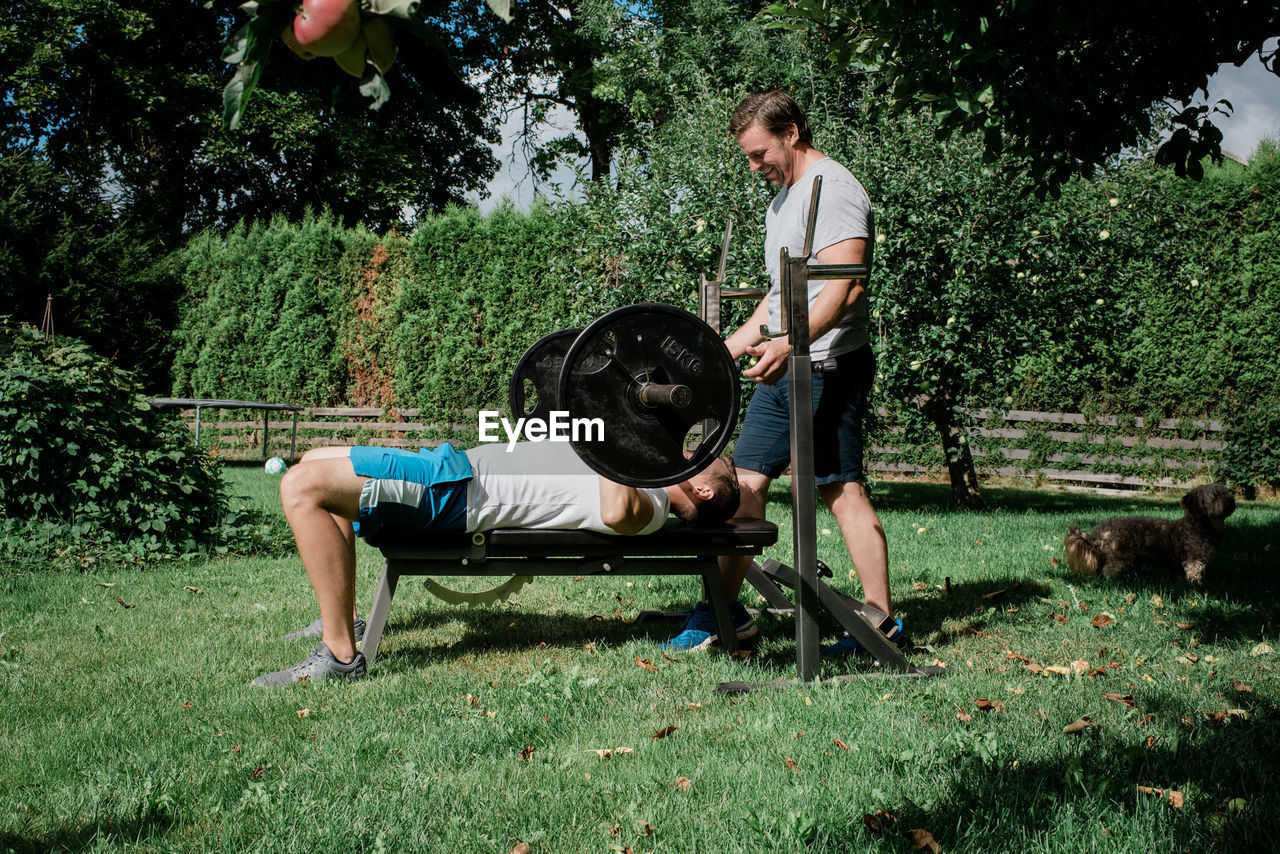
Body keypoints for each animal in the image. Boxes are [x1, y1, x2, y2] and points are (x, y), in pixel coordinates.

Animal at [1064, 483, 1233, 583]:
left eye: (1226, 492)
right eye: (1215, 495)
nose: (1231, 500)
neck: (1200, 524)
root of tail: (1101, 529)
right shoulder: (1194, 559)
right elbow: (1194, 572)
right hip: (1120, 555)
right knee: (1108, 570)